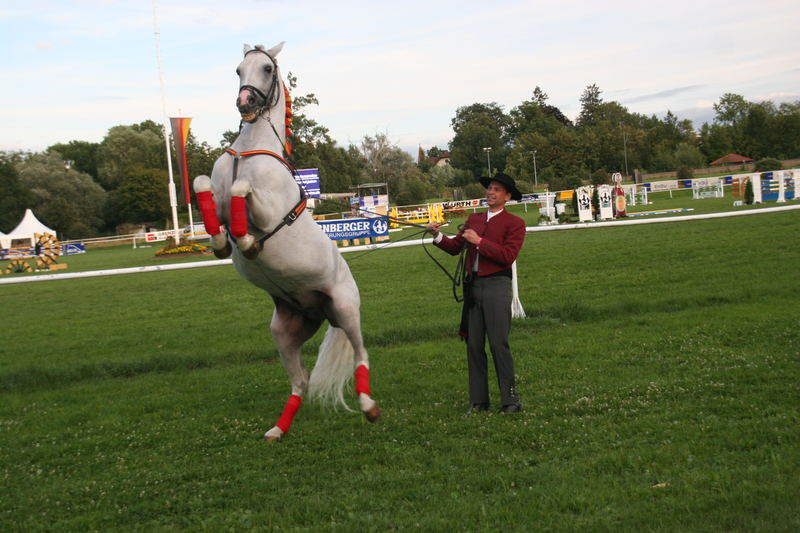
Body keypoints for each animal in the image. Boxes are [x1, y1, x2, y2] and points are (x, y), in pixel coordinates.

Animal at [194, 41, 382, 440]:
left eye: (267, 68)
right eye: (238, 70)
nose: (245, 103)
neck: (250, 151)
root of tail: (320, 311)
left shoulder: (266, 212)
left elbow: (241, 189)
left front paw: (246, 242)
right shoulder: (214, 197)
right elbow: (204, 185)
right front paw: (220, 242)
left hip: (346, 310)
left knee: (361, 356)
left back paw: (369, 408)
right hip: (285, 332)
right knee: (301, 381)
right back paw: (277, 430)